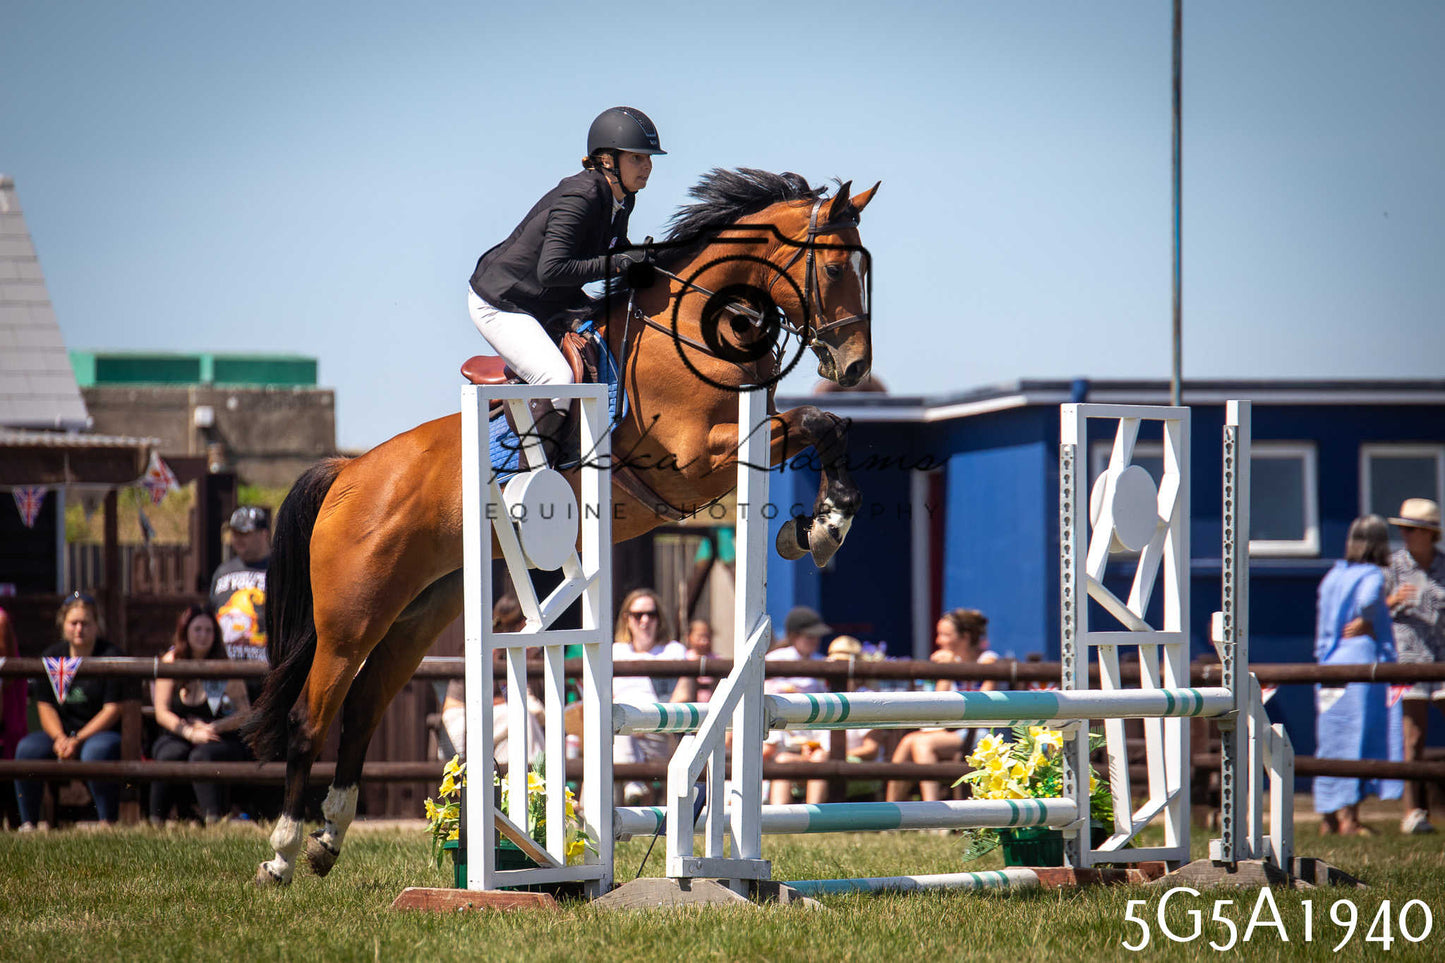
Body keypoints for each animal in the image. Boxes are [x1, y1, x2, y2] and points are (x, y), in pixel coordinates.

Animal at [244, 168, 879, 886]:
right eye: (835, 266)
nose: (854, 366)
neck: (689, 333)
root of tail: (349, 472)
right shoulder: (696, 462)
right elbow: (815, 423)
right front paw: (817, 526)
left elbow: (824, 426)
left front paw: (819, 526)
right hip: (351, 615)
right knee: (309, 717)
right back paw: (283, 852)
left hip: (417, 611)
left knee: (360, 709)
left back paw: (328, 839)